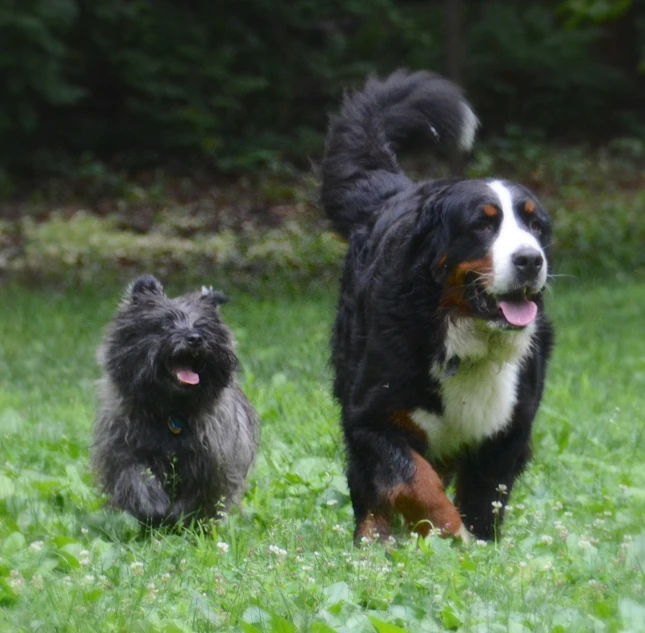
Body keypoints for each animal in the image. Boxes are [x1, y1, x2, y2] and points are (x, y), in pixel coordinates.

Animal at [92, 274, 258, 524]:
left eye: (203, 326)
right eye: (165, 324)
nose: (195, 338)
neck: (172, 412)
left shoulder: (212, 462)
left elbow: (195, 495)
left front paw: (178, 517)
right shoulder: (123, 450)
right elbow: (136, 476)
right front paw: (154, 505)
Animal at [322, 71, 552, 540]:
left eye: (535, 225)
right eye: (483, 224)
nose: (530, 259)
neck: (467, 338)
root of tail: (398, 191)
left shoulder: (508, 430)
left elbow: (482, 499)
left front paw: (477, 542)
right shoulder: (370, 417)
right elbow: (415, 480)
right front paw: (452, 535)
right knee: (366, 486)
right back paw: (372, 539)